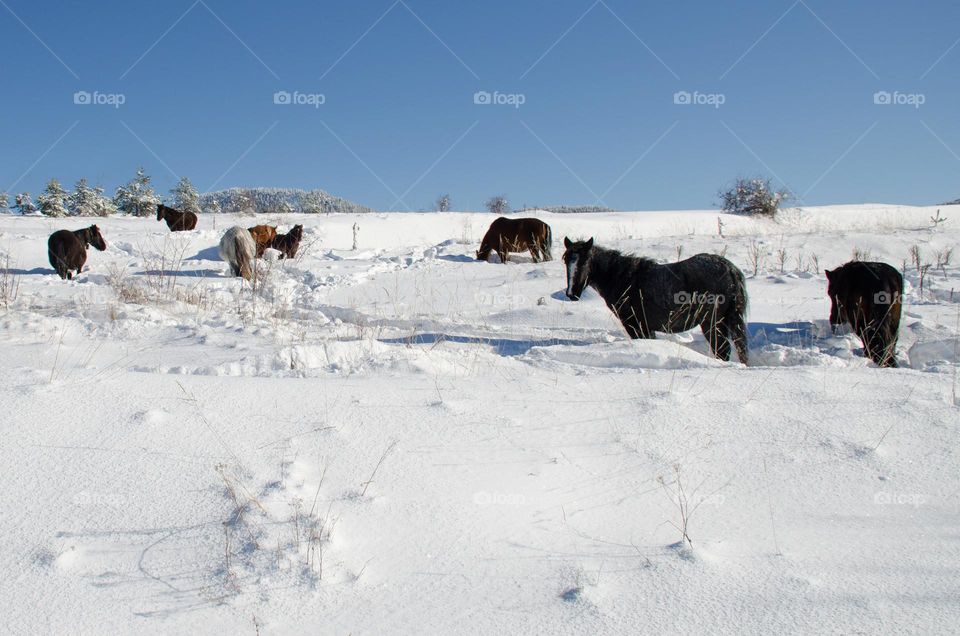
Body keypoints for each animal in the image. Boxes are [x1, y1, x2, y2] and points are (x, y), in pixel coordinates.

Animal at [562, 237, 749, 363]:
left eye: (585, 261)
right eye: (565, 261)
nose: (572, 293)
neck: (623, 278)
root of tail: (729, 268)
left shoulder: (635, 325)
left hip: (712, 322)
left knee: (722, 351)